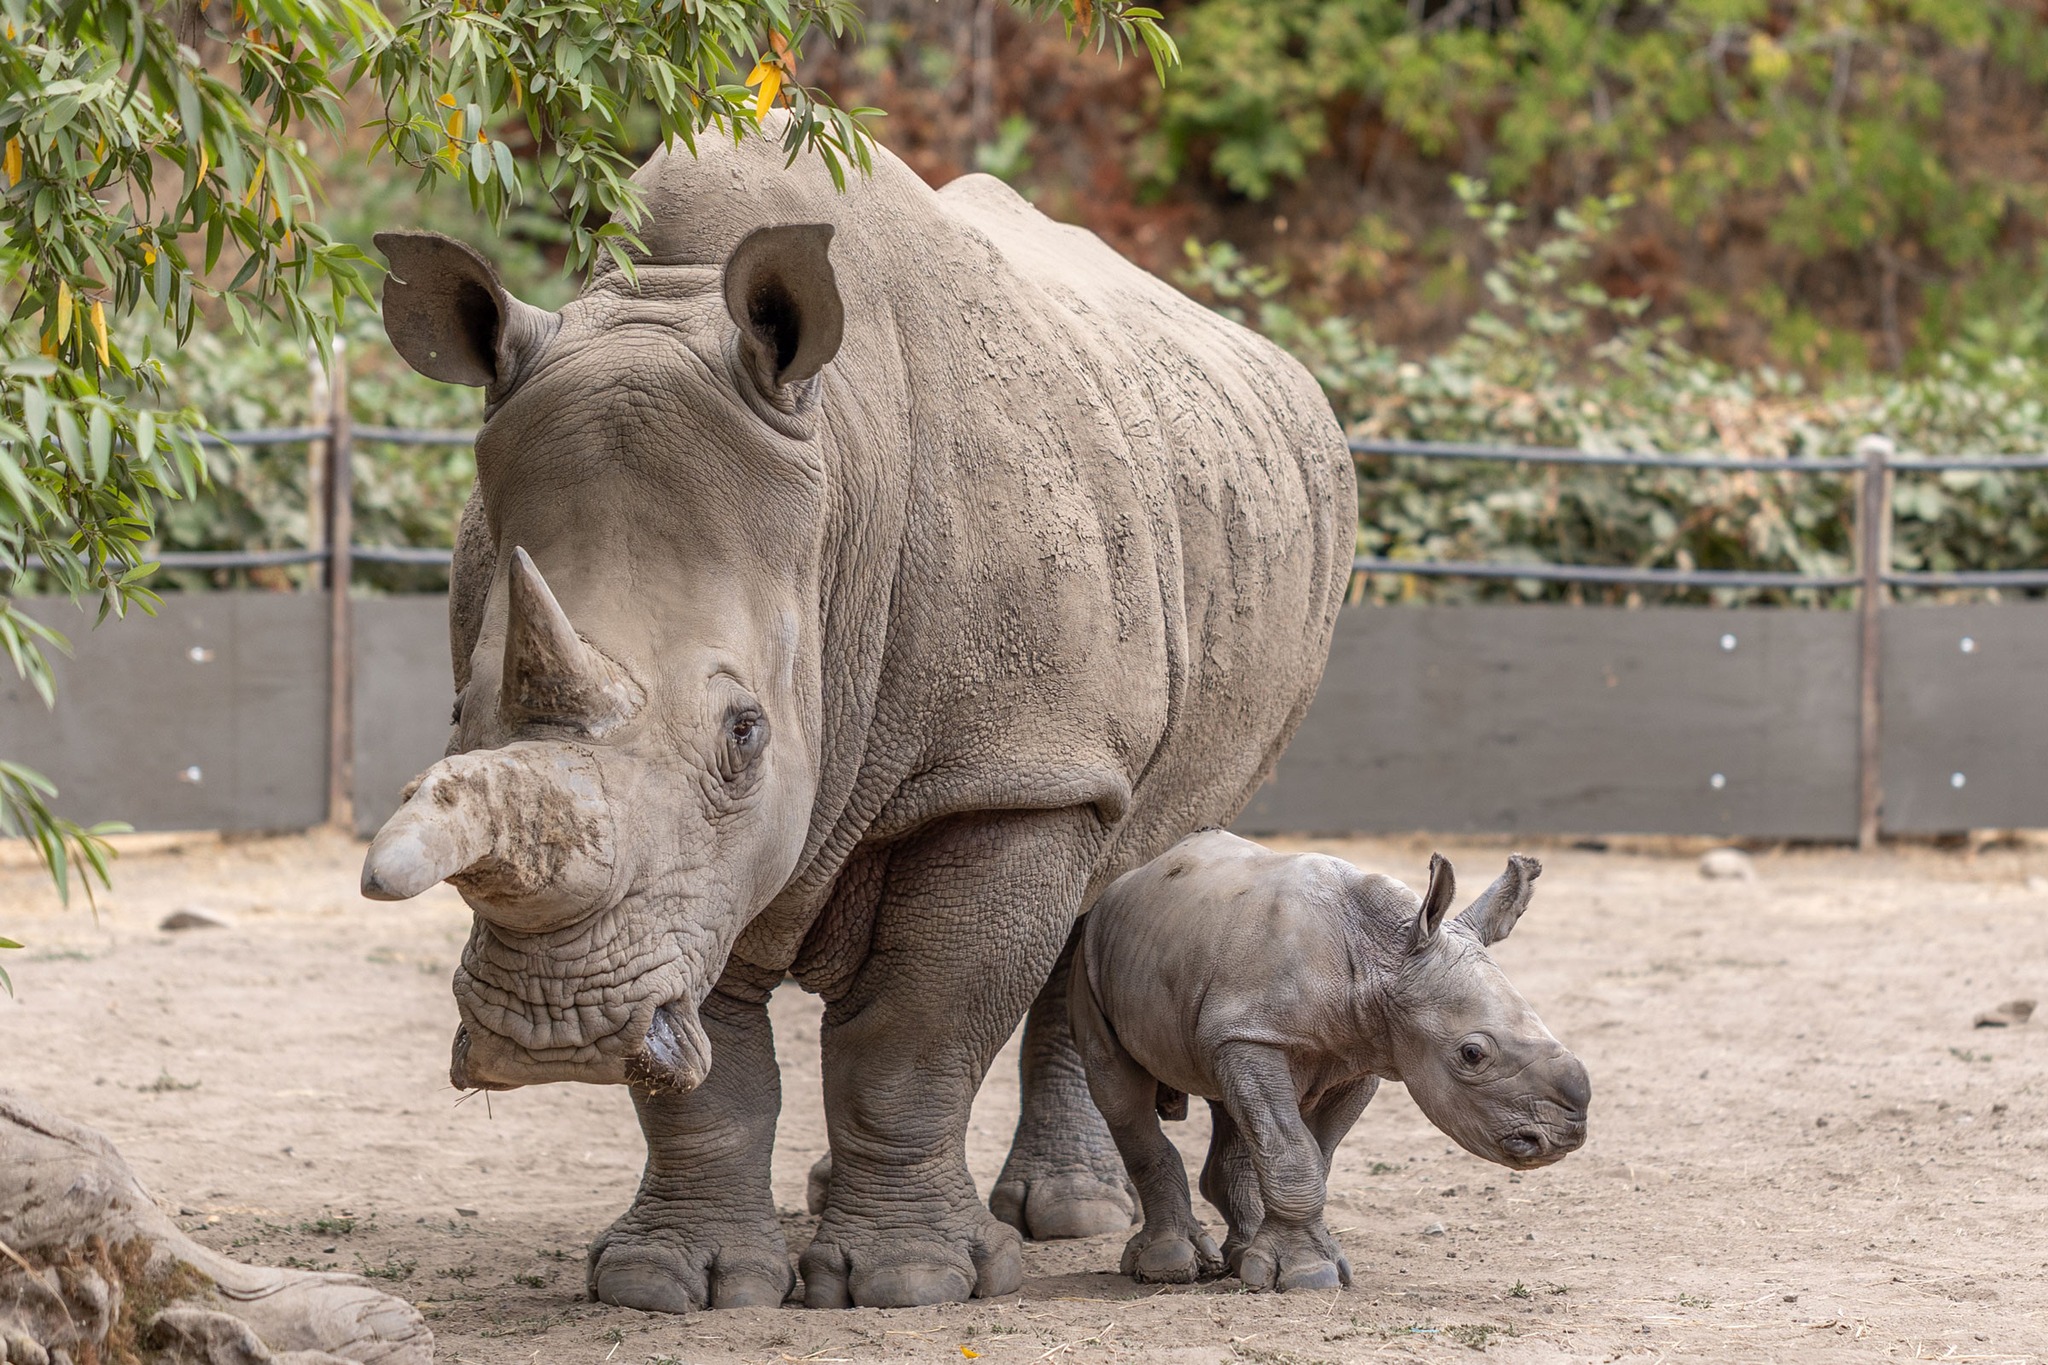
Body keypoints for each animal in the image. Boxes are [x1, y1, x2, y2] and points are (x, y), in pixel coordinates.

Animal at [359, 117, 1354, 1312]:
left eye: (744, 734)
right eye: (461, 707)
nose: (549, 1032)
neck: (837, 483)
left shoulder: (1009, 765)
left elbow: (915, 1029)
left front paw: (910, 1280)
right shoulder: (693, 874)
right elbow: (712, 1060)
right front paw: (673, 1280)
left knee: (1111, 865)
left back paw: (1067, 1216)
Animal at [1071, 833, 1590, 1291]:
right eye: (1472, 1054)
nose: (1566, 1134)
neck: (1384, 954)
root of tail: (1133, 877)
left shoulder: (1357, 1054)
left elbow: (1313, 1154)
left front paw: (1297, 1263)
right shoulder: (1253, 1034)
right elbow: (1292, 1151)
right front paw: (1306, 1275)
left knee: (1229, 1101)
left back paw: (1239, 1257)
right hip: (1091, 951)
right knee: (1122, 1095)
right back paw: (1170, 1265)